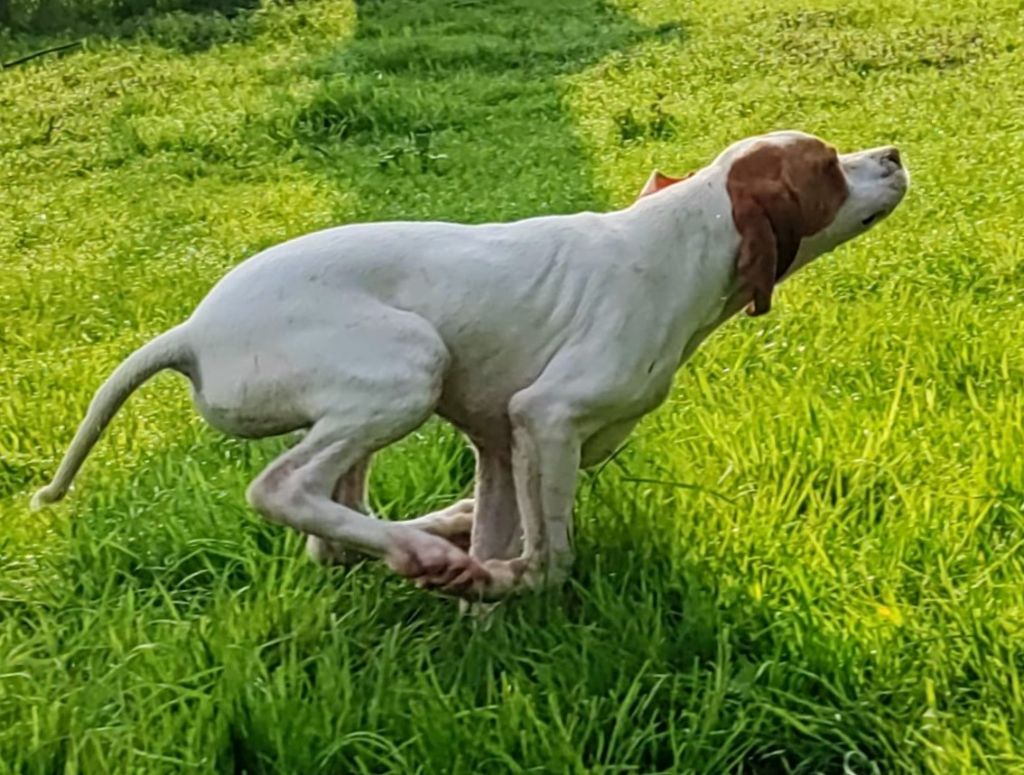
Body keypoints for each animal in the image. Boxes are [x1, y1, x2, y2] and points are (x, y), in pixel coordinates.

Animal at [31, 130, 909, 600]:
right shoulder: (547, 417)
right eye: (828, 165)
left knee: (331, 530)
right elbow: (551, 558)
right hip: (411, 364)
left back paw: (432, 533)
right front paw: (503, 581)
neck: (682, 236)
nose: (896, 153)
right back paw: (420, 549)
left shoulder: (500, 440)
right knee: (282, 488)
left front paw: (481, 575)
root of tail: (191, 329)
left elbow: (503, 525)